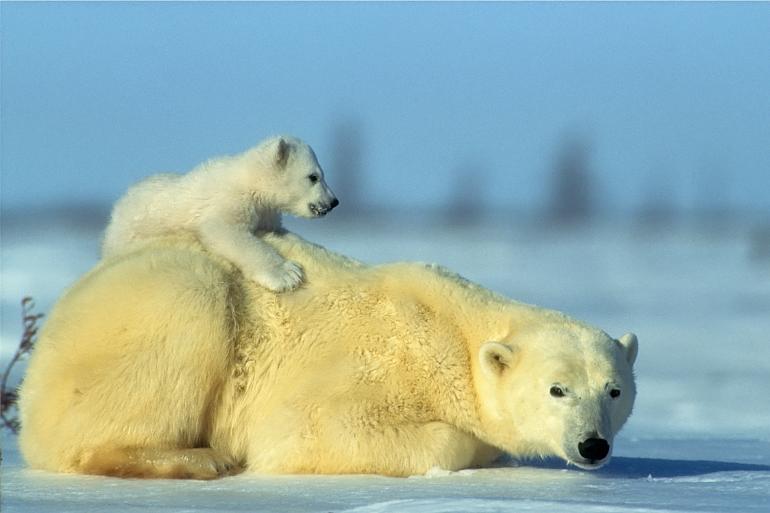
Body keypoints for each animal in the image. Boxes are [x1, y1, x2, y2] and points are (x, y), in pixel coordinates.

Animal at [18, 232, 636, 476]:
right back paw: (199, 459)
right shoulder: (383, 360)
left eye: (613, 390)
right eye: (557, 389)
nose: (594, 445)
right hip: (164, 305)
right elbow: (316, 428)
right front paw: (477, 448)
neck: (451, 330)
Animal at [101, 136, 336, 292]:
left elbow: (278, 231)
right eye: (313, 177)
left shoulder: (266, 213)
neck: (249, 180)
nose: (334, 201)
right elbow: (226, 232)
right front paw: (287, 274)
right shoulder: (228, 201)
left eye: (321, 174)